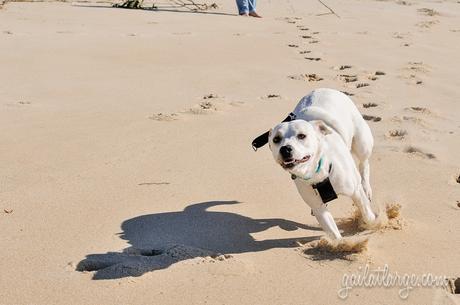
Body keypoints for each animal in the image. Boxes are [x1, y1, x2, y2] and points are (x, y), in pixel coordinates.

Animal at [268, 86, 376, 239]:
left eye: (302, 136)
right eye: (276, 139)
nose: (285, 149)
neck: (317, 171)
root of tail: (322, 88)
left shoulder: (355, 191)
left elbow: (367, 214)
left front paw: (371, 224)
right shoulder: (319, 209)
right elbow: (333, 233)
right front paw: (343, 243)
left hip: (362, 143)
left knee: (364, 163)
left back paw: (366, 187)